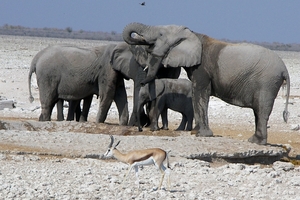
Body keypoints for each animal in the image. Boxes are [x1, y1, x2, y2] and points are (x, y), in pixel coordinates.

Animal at [122, 21, 290, 145]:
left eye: (161, 34)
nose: (141, 130)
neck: (194, 34)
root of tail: (284, 69)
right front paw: (196, 132)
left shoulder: (202, 68)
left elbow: (200, 92)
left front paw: (201, 134)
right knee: (258, 111)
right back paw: (253, 140)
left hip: (267, 83)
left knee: (261, 110)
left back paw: (257, 142)